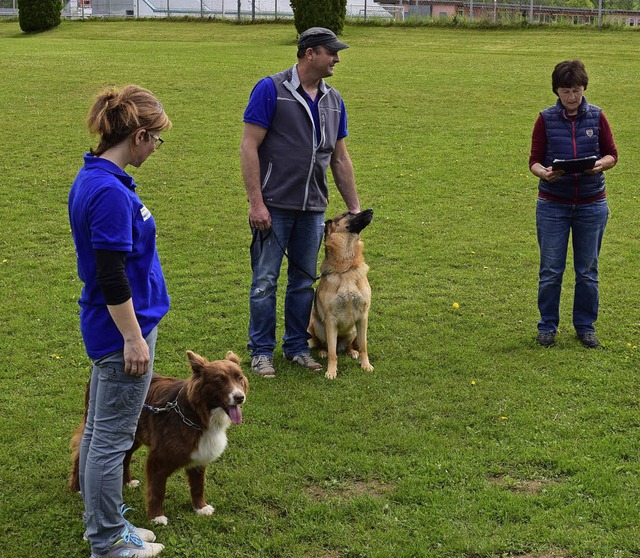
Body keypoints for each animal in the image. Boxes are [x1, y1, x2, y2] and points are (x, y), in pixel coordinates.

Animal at [308, 210, 372, 380]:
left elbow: (363, 346)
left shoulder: (363, 317)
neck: (346, 268)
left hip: (353, 330)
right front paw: (331, 371)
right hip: (317, 325)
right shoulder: (330, 320)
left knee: (349, 345)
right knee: (326, 346)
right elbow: (332, 353)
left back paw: (352, 351)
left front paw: (365, 364)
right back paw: (323, 352)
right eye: (349, 214)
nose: (371, 210)